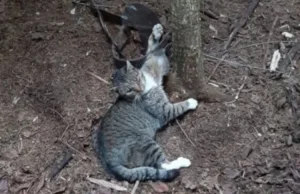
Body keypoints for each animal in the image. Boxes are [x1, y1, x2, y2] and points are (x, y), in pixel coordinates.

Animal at [92, 23, 198, 182]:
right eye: (129, 90)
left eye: (136, 79)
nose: (139, 88)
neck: (147, 83)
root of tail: (109, 161)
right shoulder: (164, 110)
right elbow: (178, 107)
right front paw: (191, 102)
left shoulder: (156, 64)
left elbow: (151, 50)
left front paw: (156, 32)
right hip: (146, 144)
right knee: (163, 165)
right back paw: (182, 162)